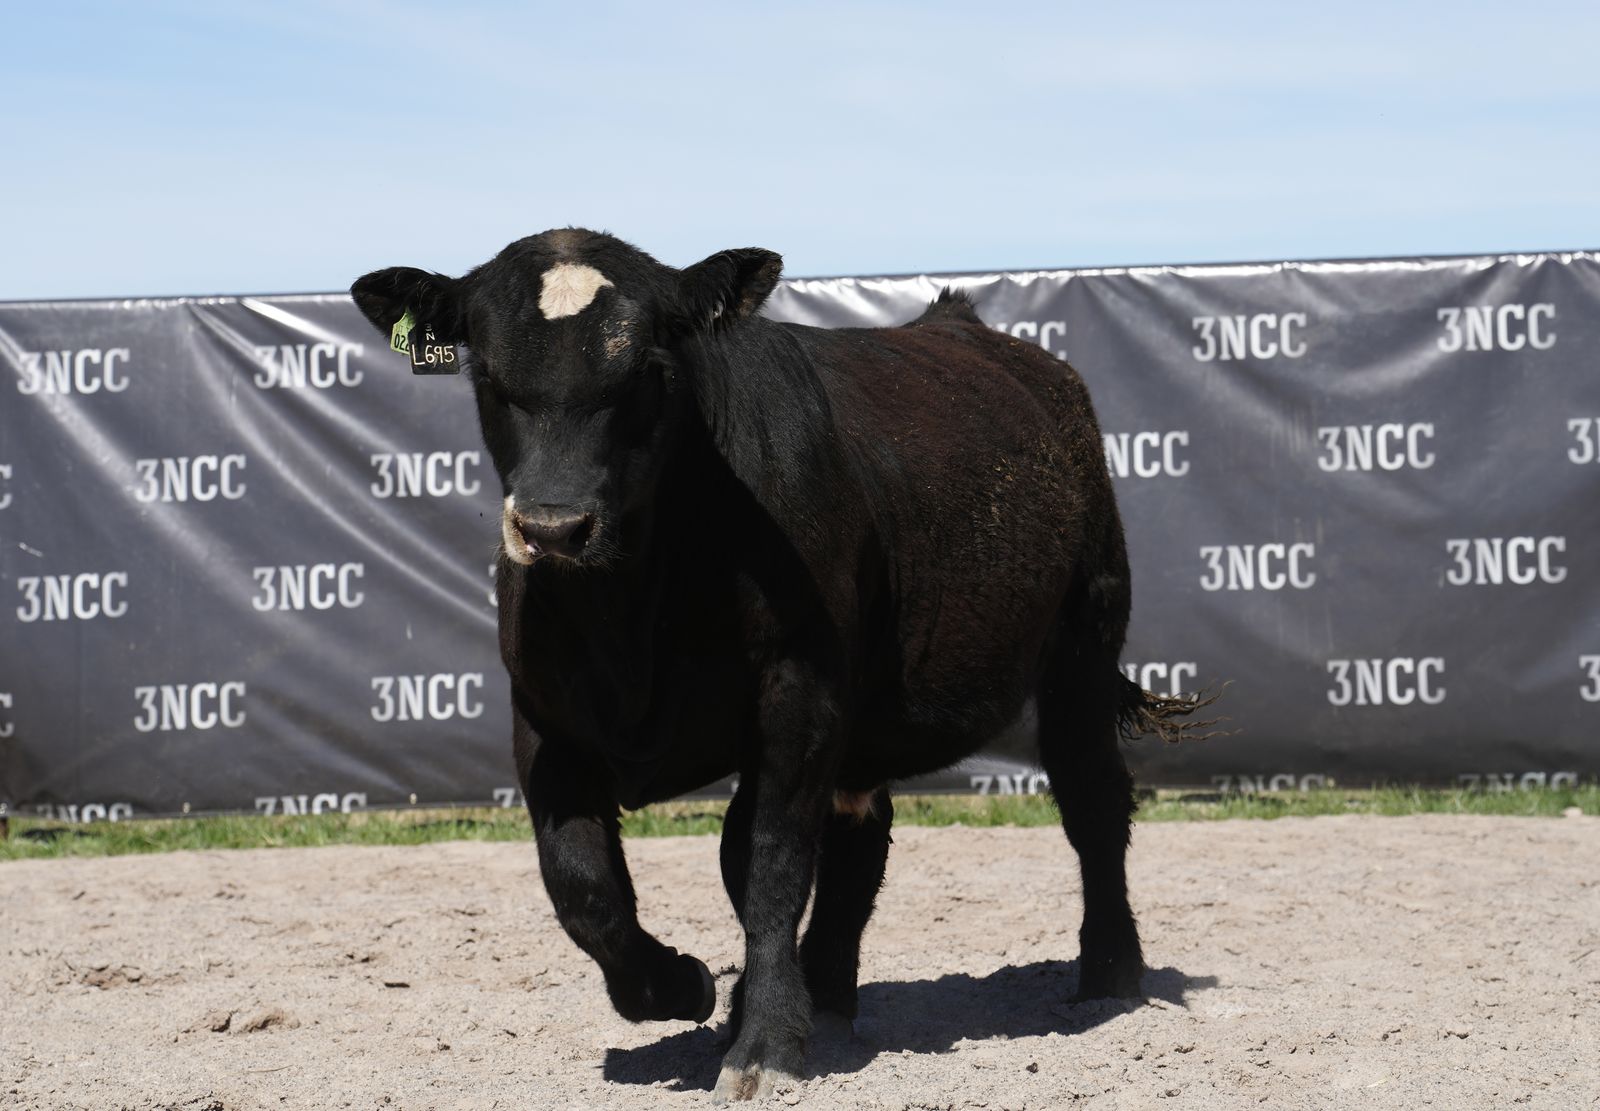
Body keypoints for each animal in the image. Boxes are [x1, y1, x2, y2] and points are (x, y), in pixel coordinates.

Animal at [351, 229, 1209, 1102]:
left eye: (648, 369)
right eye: (488, 373)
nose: (554, 528)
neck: (630, 613)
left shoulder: (799, 689)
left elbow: (766, 859)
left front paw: (761, 1038)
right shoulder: (544, 722)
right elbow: (583, 887)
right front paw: (682, 986)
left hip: (1084, 639)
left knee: (1092, 800)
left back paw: (1108, 972)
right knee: (862, 835)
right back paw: (825, 993)